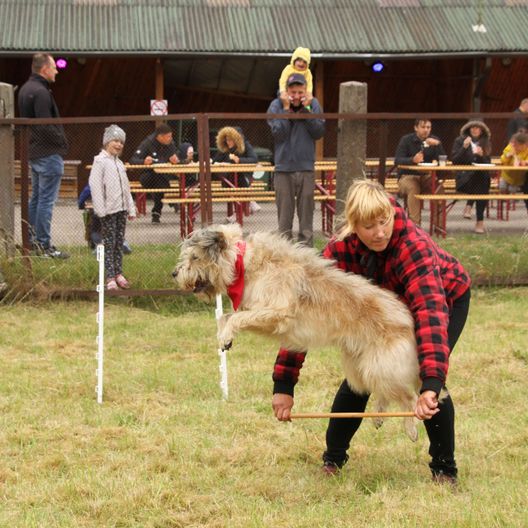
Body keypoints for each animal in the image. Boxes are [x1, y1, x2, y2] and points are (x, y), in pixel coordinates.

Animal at [173, 225, 420, 440]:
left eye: (195, 257)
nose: (174, 273)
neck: (245, 263)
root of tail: (409, 322)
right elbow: (225, 317)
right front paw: (223, 337)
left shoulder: (277, 314)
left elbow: (236, 317)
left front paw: (225, 335)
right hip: (359, 369)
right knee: (385, 391)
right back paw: (379, 414)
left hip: (379, 366)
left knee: (410, 396)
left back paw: (411, 427)